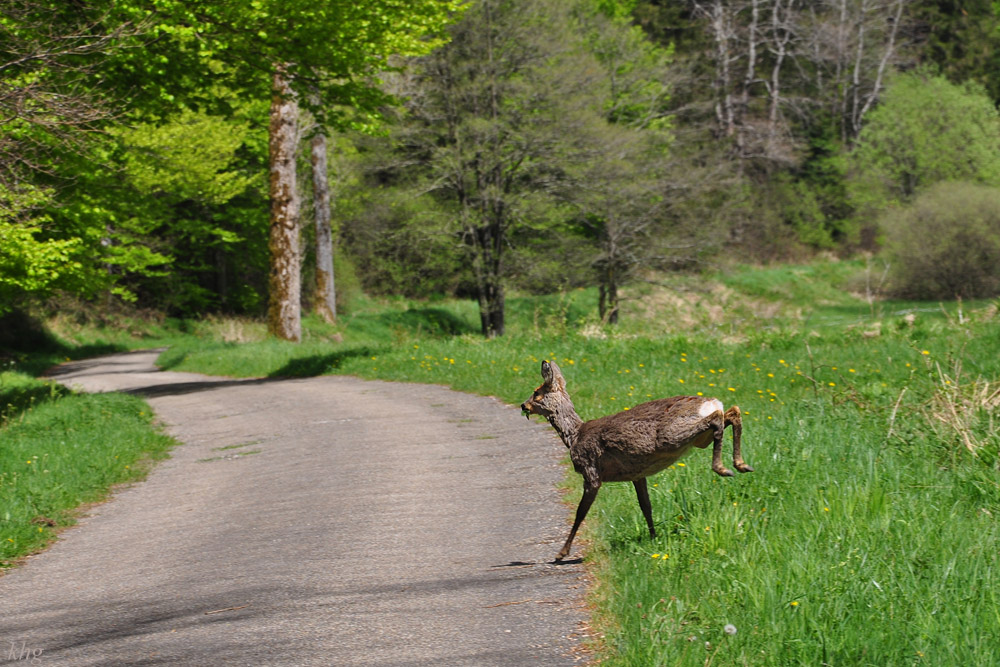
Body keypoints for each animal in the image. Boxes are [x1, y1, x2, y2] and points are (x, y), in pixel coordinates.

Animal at [521, 360, 753, 561]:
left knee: (718, 418)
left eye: (536, 393)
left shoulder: (591, 471)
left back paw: (722, 468)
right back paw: (742, 465)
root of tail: (710, 402)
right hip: (699, 440)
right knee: (732, 412)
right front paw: (653, 537)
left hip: (672, 436)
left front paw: (561, 553)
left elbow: (580, 513)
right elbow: (646, 506)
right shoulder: (638, 475)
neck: (574, 436)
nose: (523, 405)